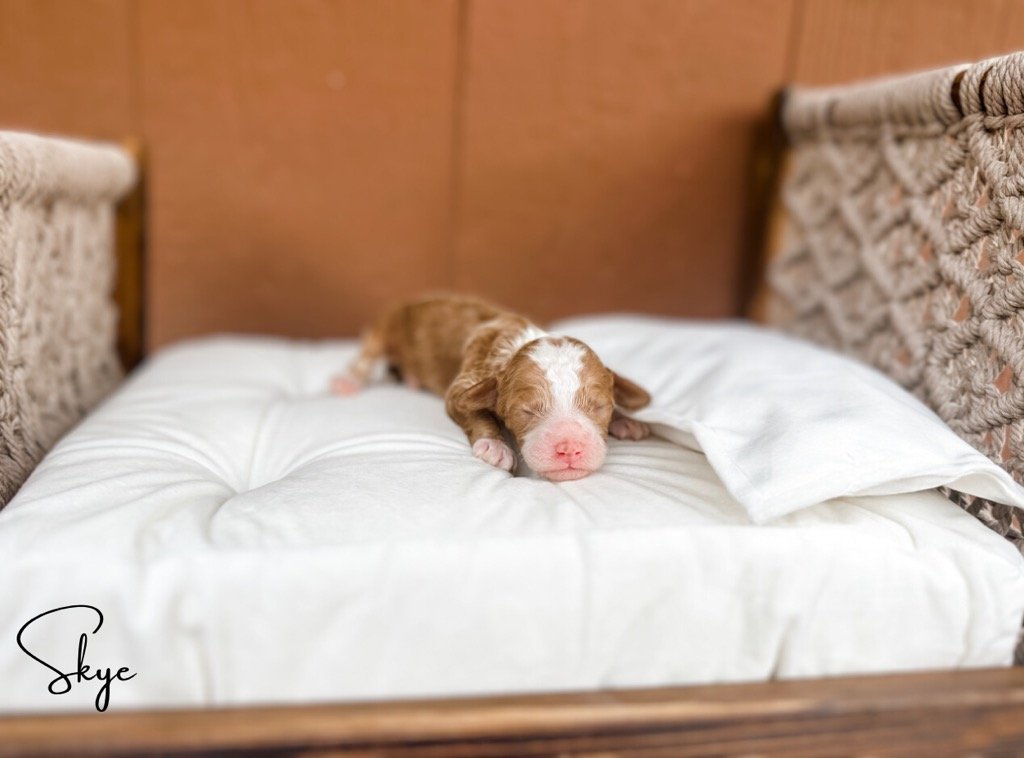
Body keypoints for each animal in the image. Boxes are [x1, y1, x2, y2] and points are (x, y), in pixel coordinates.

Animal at [331, 295, 651, 479]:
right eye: (526, 411)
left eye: (599, 406)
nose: (569, 448)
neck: (518, 341)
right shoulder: (465, 383)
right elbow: (475, 411)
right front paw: (495, 446)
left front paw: (626, 421)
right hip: (385, 329)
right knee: (366, 356)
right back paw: (348, 382)